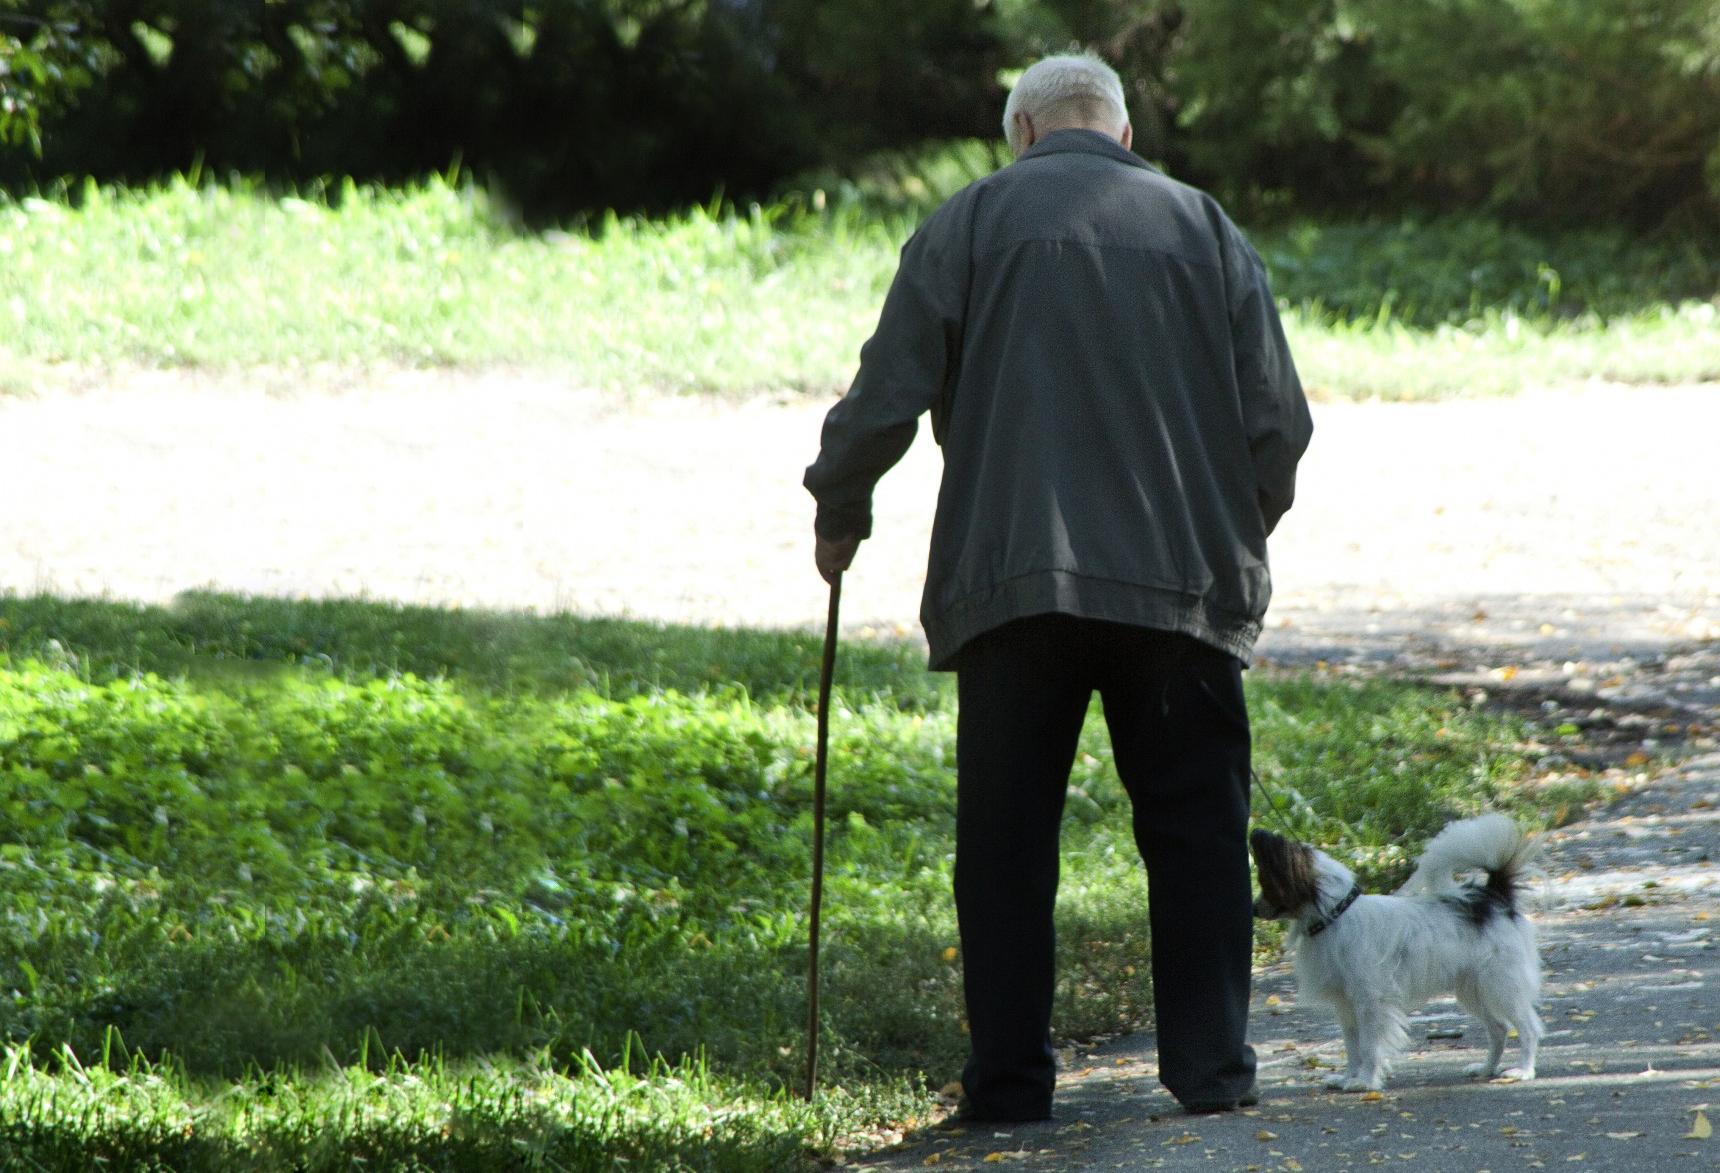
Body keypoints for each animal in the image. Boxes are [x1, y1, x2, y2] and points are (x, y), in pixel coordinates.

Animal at [1252, 811, 1548, 1087]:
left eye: (1266, 884)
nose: (1253, 909)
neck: (1336, 915)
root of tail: (1494, 898)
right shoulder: (1346, 1004)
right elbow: (1352, 1047)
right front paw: (1348, 1078)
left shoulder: (1371, 1001)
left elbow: (1369, 1047)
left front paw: (1365, 1082)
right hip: (1474, 989)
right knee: (1499, 1029)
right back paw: (1486, 1069)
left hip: (1501, 985)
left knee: (1527, 1028)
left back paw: (1523, 1071)